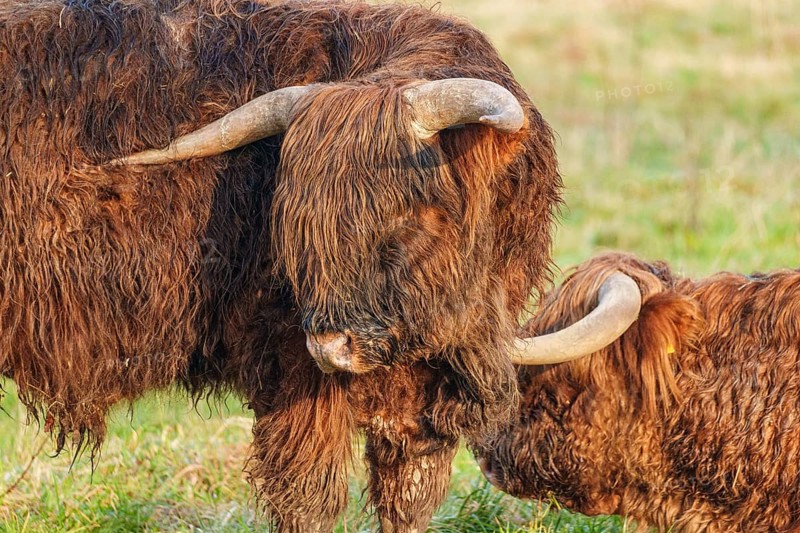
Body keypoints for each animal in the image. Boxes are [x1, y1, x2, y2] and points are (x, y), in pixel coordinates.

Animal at [0, 0, 562, 530]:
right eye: (297, 225)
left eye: (413, 212)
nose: (332, 346)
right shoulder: (294, 369)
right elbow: (310, 497)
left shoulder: (418, 395)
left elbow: (408, 497)